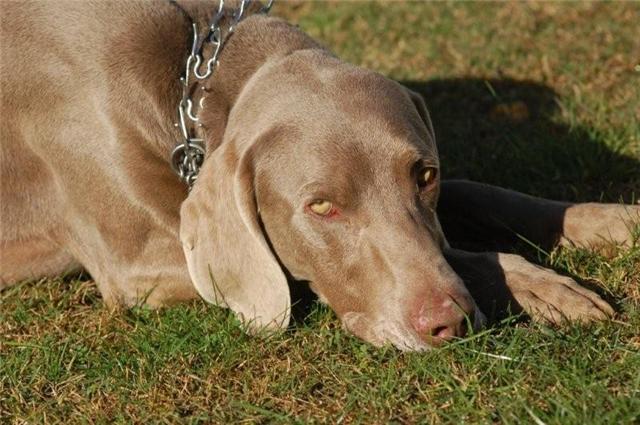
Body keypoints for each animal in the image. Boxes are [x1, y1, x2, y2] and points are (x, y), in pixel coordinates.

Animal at [1, 1, 637, 351]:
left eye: (424, 175)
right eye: (323, 207)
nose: (448, 324)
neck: (193, 70)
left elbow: (478, 193)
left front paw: (610, 223)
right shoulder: (140, 266)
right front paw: (542, 287)